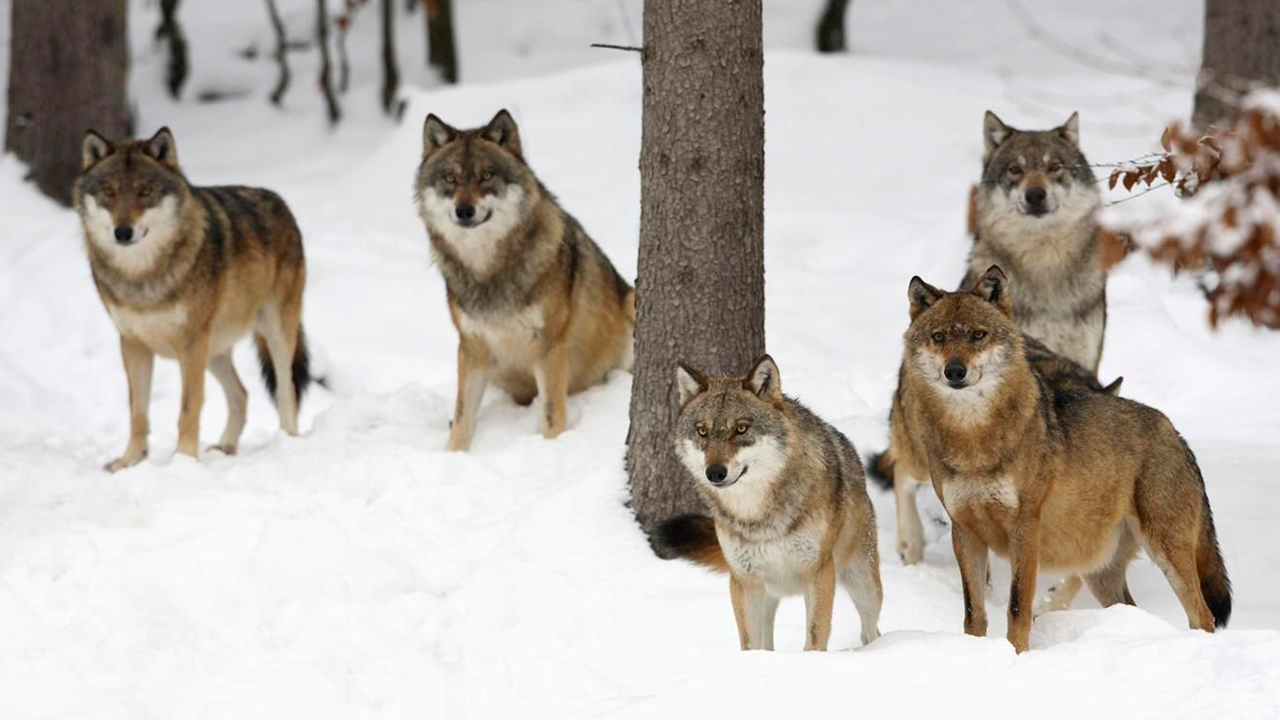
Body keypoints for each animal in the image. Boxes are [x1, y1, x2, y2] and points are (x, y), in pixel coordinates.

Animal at [74, 126, 314, 468]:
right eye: (109, 191)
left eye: (146, 191)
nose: (123, 232)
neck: (143, 276)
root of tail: (279, 201)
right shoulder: (133, 344)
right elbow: (137, 414)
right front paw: (130, 461)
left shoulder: (190, 344)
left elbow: (188, 409)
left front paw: (184, 460)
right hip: (213, 351)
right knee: (241, 394)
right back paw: (225, 448)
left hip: (273, 335)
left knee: (286, 390)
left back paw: (287, 443)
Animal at [417, 107, 637, 448]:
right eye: (450, 178)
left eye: (486, 175)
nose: (464, 211)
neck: (488, 270)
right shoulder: (472, 349)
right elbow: (462, 419)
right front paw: (453, 455)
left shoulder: (549, 346)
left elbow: (552, 416)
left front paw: (552, 449)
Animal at [655, 356, 885, 648]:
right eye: (702, 432)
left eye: (741, 428)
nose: (714, 473)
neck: (758, 516)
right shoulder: (744, 580)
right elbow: (750, 645)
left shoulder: (819, 572)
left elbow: (814, 639)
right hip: (768, 594)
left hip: (864, 584)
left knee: (870, 630)